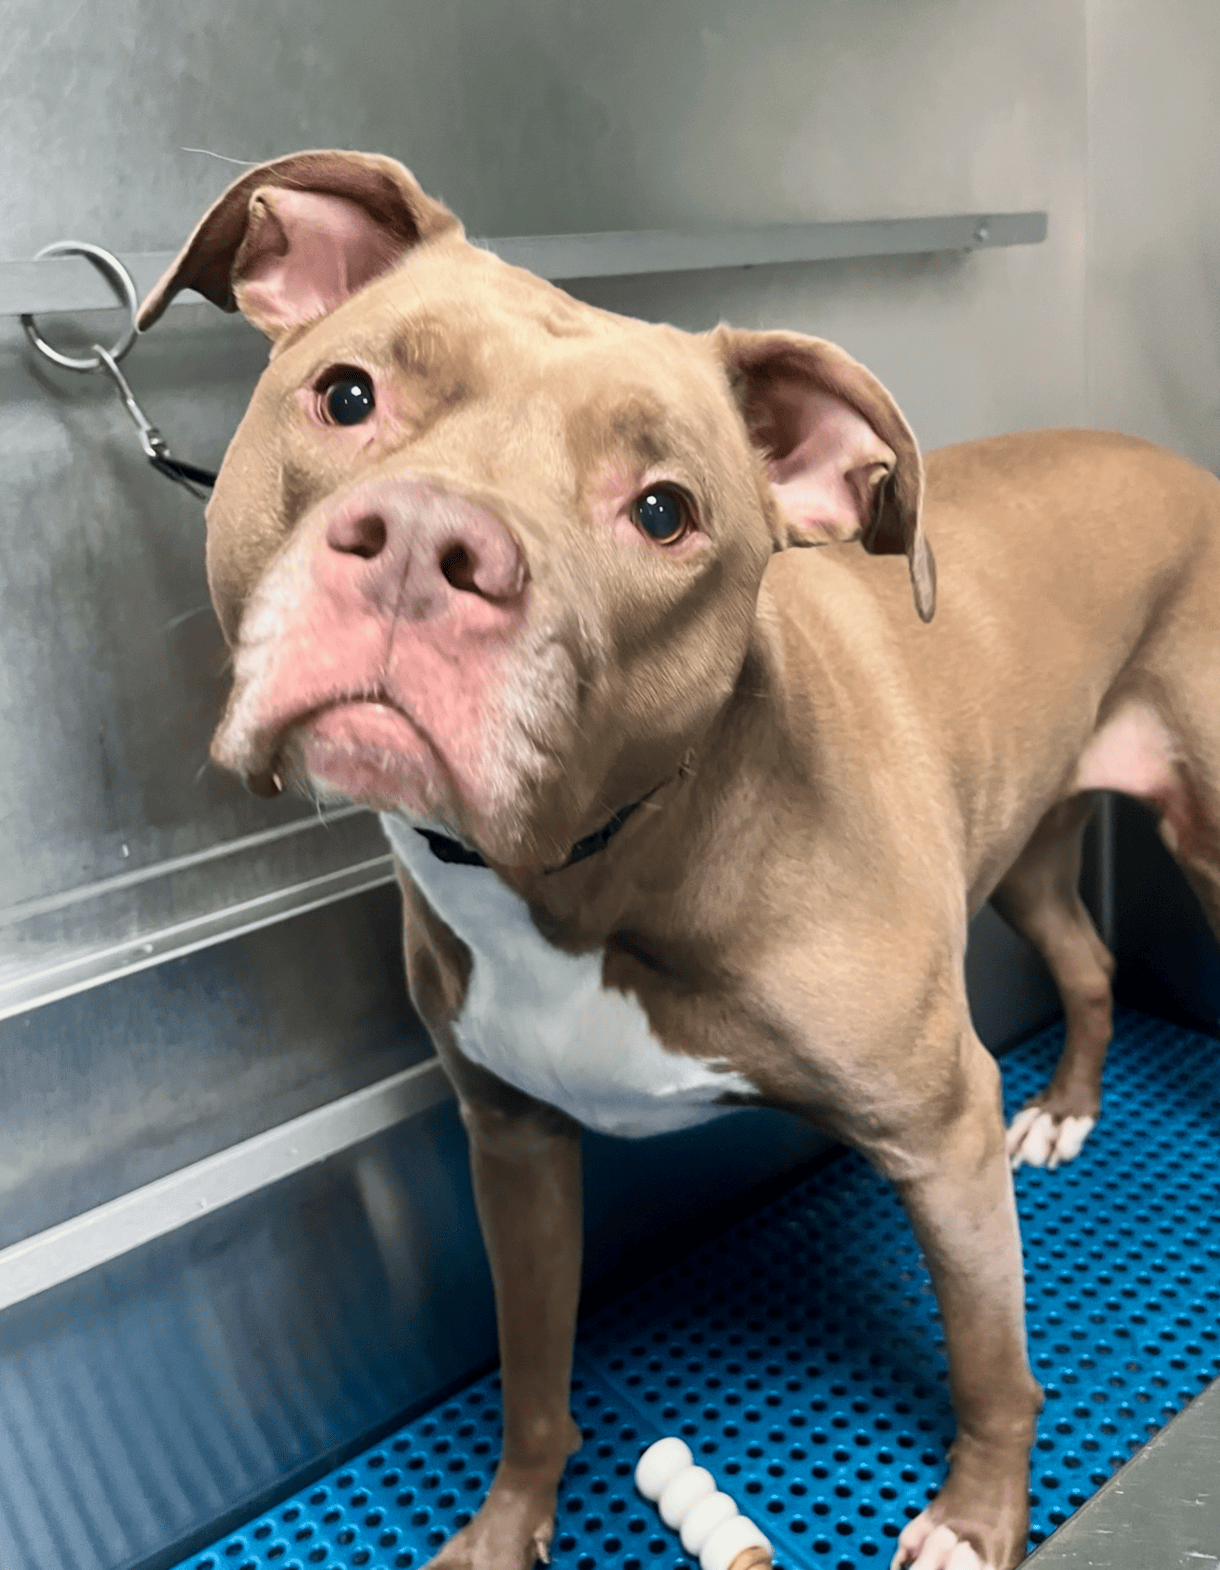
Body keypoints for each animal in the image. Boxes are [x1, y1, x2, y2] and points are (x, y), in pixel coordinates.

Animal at [138, 149, 1218, 1570]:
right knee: (1088, 964)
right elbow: (532, 1378)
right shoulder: (514, 1147)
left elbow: (993, 1363)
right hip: (1035, 853)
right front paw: (505, 1527)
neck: (588, 867)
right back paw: (1069, 1106)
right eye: (348, 394)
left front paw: (974, 1521)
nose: (429, 546)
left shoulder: (938, 1132)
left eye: (662, 511)